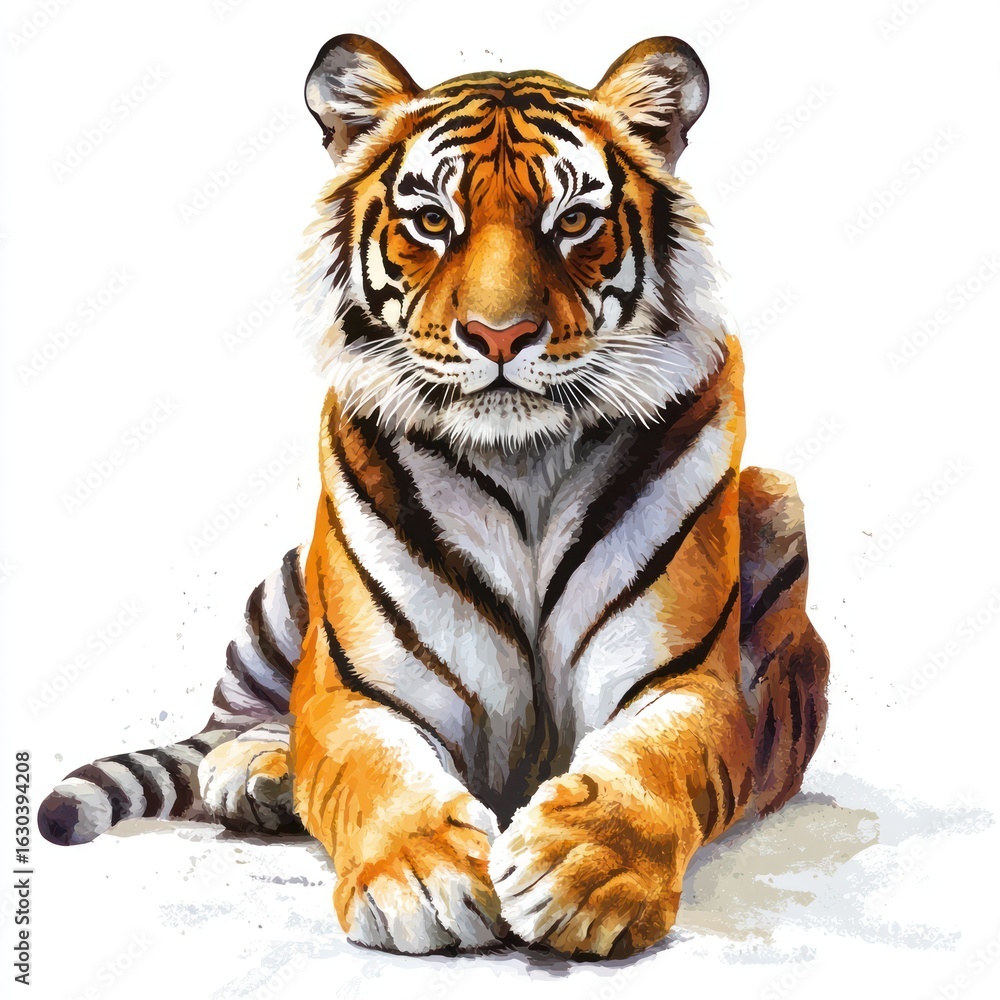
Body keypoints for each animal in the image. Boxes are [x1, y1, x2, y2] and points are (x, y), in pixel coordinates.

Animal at [38, 34, 830, 960]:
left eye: (573, 222)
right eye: (431, 220)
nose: (499, 335)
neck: (524, 464)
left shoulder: (681, 682)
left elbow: (645, 769)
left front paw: (583, 872)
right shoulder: (362, 694)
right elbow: (374, 771)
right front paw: (422, 878)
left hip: (776, 499)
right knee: (241, 719)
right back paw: (259, 773)